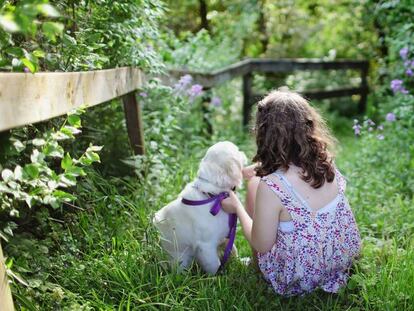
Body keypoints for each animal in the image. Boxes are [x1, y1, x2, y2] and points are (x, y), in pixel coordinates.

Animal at [154, 142, 247, 276]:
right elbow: (214, 264)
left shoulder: (226, 235)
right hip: (180, 258)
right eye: (237, 150)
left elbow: (233, 249)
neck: (213, 196)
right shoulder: (206, 246)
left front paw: (241, 262)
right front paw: (216, 278)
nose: (243, 152)